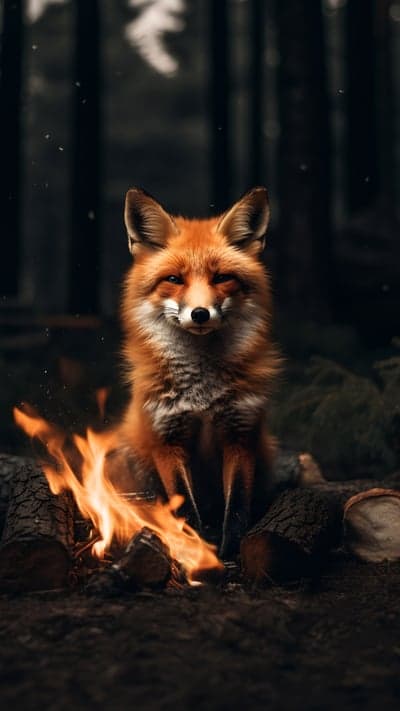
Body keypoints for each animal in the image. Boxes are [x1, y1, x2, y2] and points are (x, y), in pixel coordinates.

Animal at [117, 186, 280, 557]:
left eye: (221, 278)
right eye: (174, 279)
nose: (200, 313)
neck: (202, 394)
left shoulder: (240, 433)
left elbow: (237, 505)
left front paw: (230, 550)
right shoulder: (167, 438)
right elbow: (184, 506)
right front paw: (197, 548)